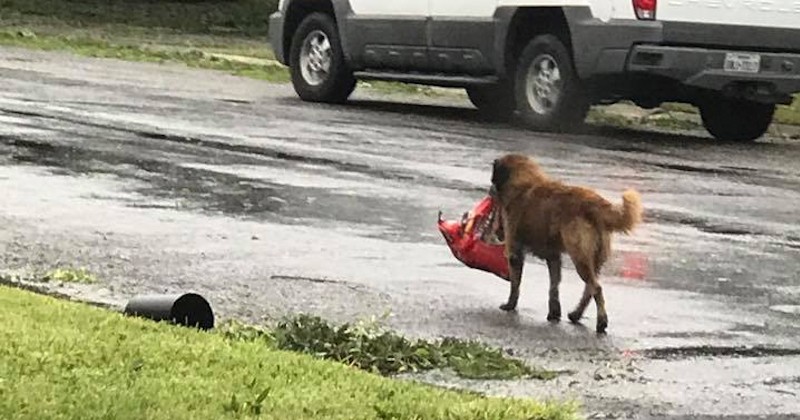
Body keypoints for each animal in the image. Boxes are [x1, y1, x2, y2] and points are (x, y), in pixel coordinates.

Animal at [488, 153, 644, 334]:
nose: (490, 190)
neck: (524, 182)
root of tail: (594, 203)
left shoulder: (515, 251)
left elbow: (515, 284)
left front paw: (510, 305)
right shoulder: (553, 257)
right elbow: (554, 286)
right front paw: (554, 313)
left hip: (580, 257)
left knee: (596, 288)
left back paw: (601, 322)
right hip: (594, 259)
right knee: (590, 288)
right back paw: (576, 314)